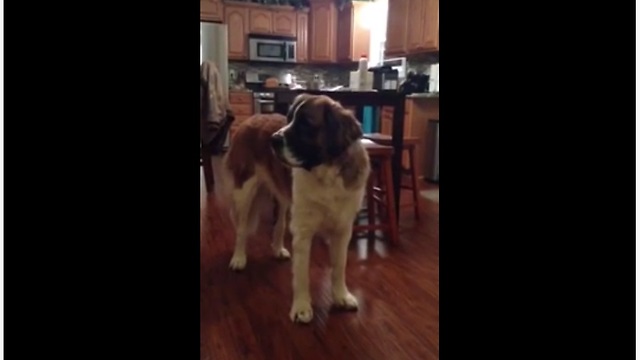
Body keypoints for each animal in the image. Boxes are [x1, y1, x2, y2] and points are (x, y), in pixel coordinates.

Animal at [219, 93, 370, 324]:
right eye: (289, 119)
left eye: (305, 124)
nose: (273, 140)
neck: (326, 174)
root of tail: (251, 119)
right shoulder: (303, 232)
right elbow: (301, 274)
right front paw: (301, 307)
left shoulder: (343, 230)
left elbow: (339, 267)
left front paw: (341, 297)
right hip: (244, 193)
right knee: (242, 229)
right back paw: (238, 258)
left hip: (282, 198)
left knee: (279, 225)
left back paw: (277, 249)